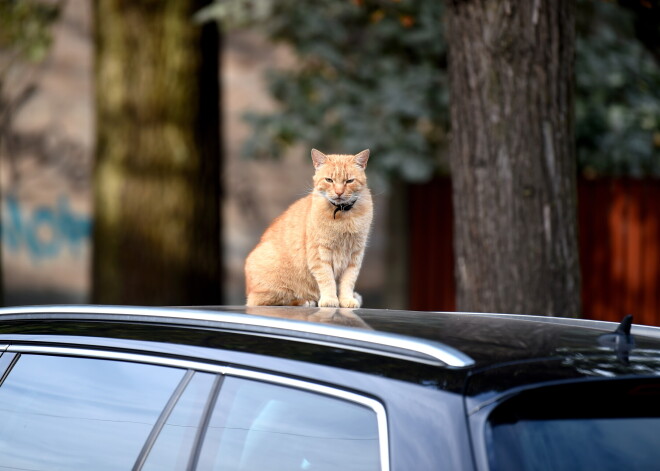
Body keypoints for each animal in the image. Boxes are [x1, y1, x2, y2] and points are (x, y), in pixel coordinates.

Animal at [246, 149, 374, 308]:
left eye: (349, 181)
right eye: (329, 180)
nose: (339, 192)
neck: (342, 214)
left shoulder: (355, 256)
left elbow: (348, 281)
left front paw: (346, 300)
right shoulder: (319, 254)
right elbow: (327, 279)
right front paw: (330, 299)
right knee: (270, 301)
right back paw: (305, 300)